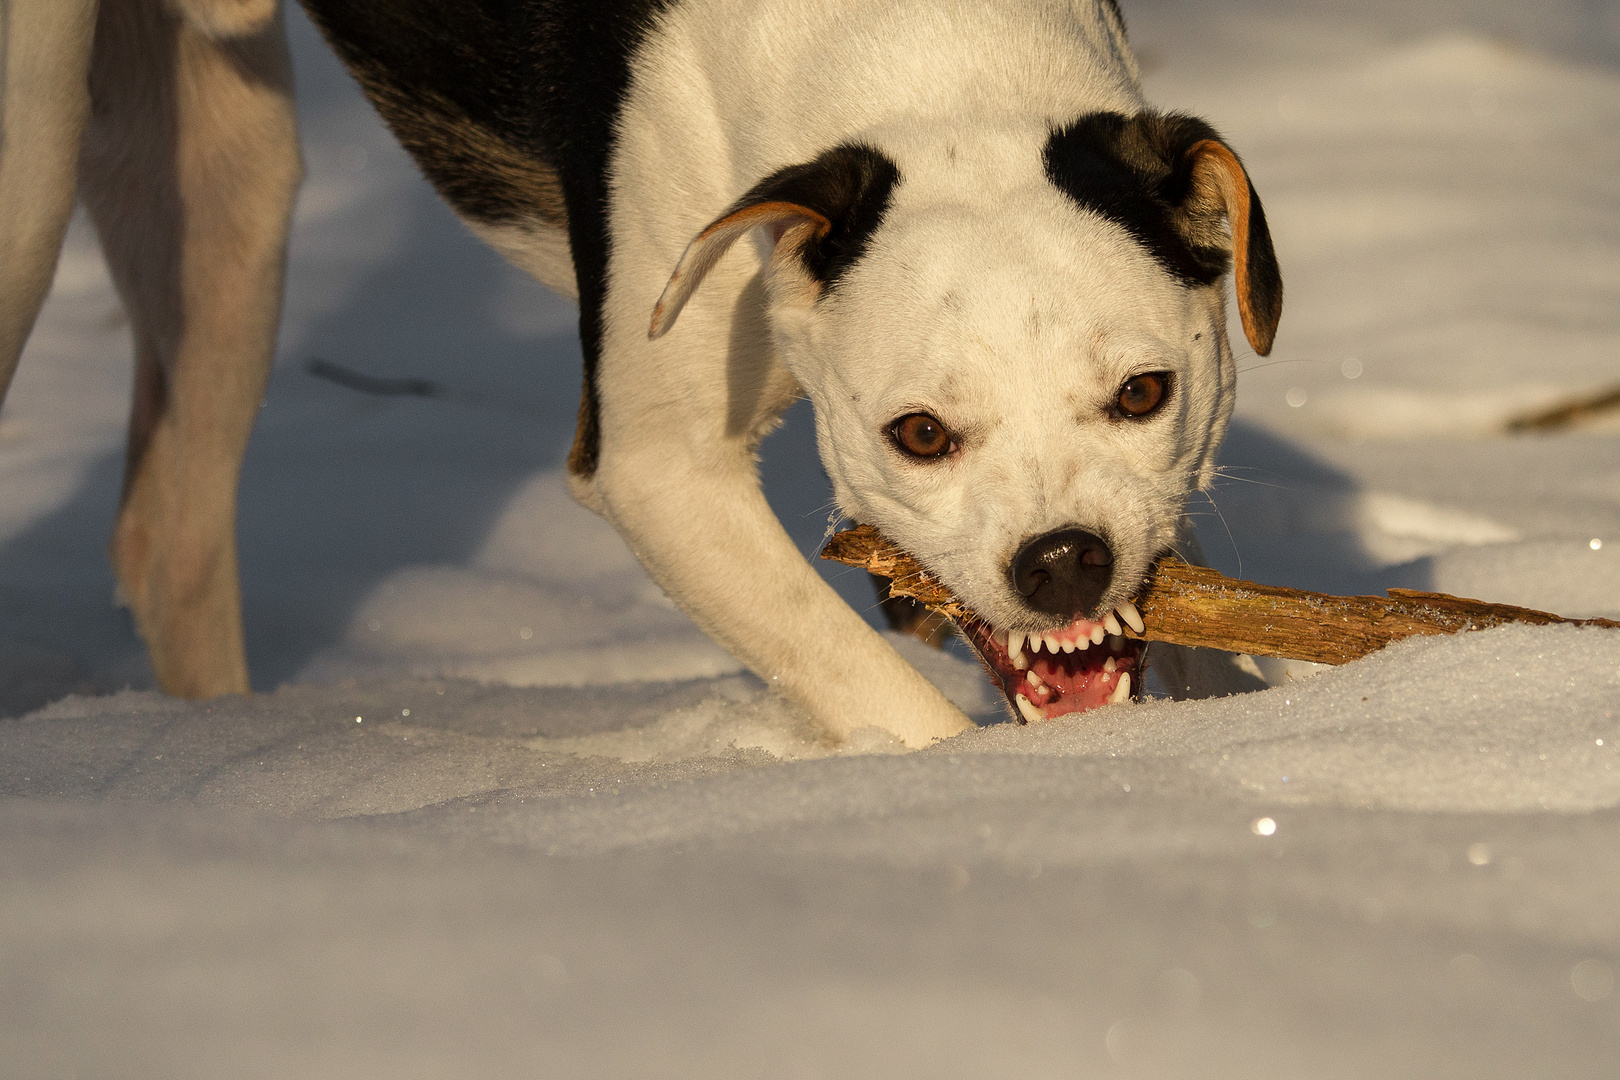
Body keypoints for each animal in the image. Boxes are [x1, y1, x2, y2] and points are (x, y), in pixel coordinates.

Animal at [3, 0, 1276, 744]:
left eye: (1143, 393)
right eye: (919, 434)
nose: (1062, 562)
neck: (934, 68)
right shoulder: (660, 470)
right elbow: (877, 690)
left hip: (231, 182)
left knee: (171, 539)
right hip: (36, 165)